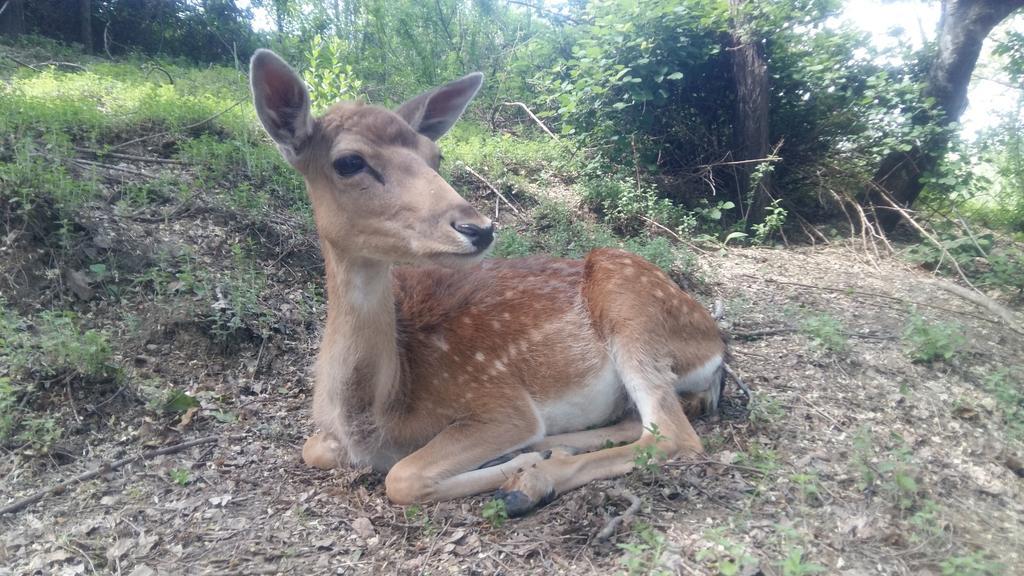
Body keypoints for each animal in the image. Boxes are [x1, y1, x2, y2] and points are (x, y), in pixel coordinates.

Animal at [248, 49, 729, 512]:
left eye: (435, 157)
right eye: (349, 162)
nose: (478, 227)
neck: (376, 415)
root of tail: (716, 344)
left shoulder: (500, 403)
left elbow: (402, 476)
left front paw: (522, 462)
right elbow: (313, 449)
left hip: (632, 310)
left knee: (672, 434)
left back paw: (530, 479)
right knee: (638, 421)